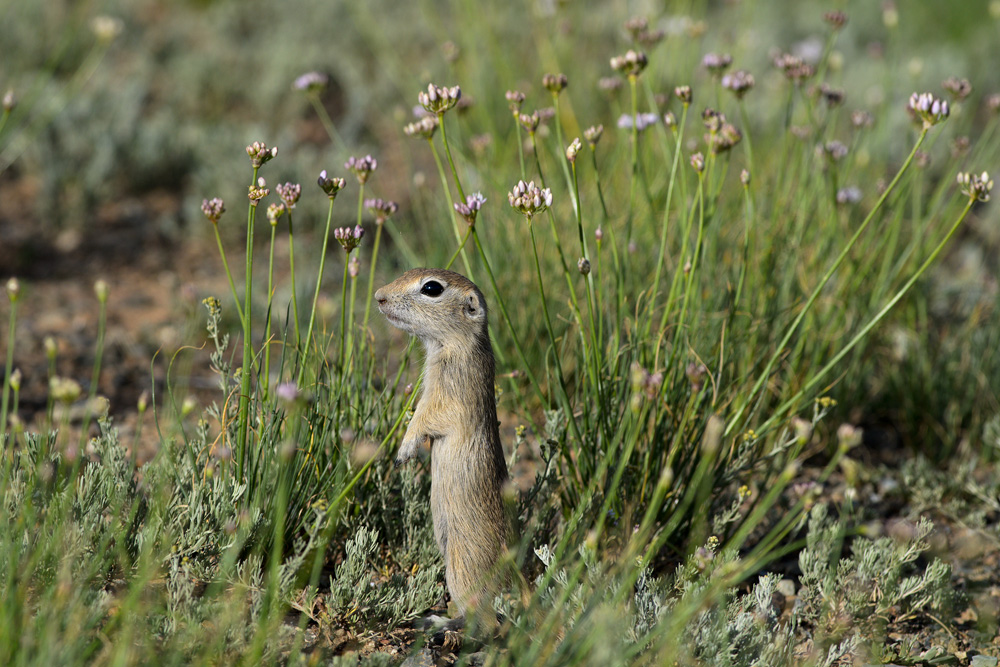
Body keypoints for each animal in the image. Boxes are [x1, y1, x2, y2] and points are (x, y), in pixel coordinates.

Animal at [376, 268, 516, 628]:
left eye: (431, 288)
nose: (379, 296)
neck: (452, 344)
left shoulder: (451, 395)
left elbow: (426, 417)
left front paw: (405, 451)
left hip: (461, 565)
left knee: (486, 622)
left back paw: (439, 622)